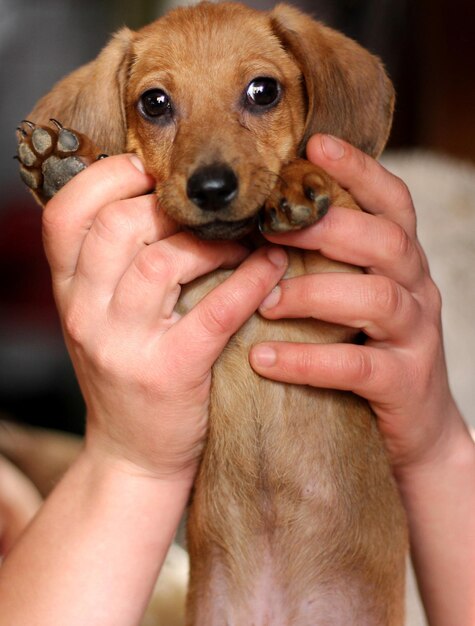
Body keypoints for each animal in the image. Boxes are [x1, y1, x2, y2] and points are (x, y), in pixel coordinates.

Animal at [16, 2, 408, 620]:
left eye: (263, 91)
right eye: (154, 102)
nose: (212, 187)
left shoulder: (339, 289)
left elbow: (337, 204)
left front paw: (299, 178)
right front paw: (64, 167)